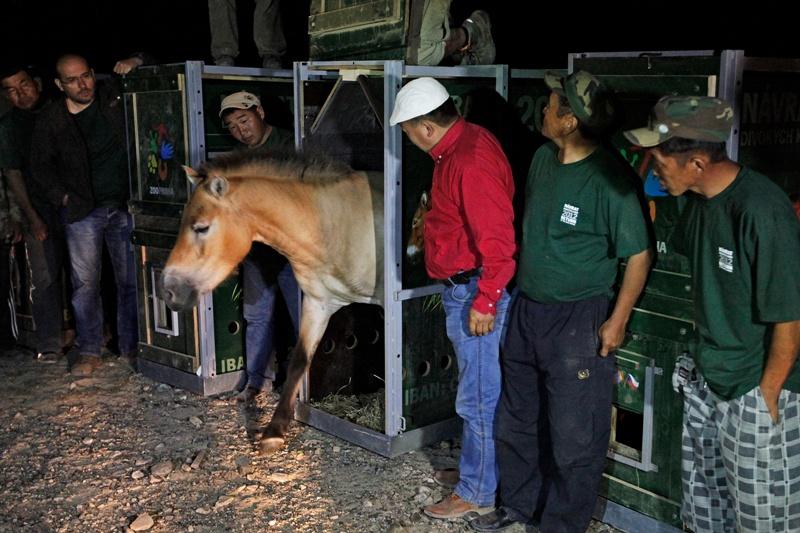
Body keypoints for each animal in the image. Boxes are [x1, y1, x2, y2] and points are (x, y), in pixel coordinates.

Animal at [161, 151, 382, 454]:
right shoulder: (318, 303)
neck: (336, 224)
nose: (168, 291)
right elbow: (300, 360)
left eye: (201, 228)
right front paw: (274, 431)